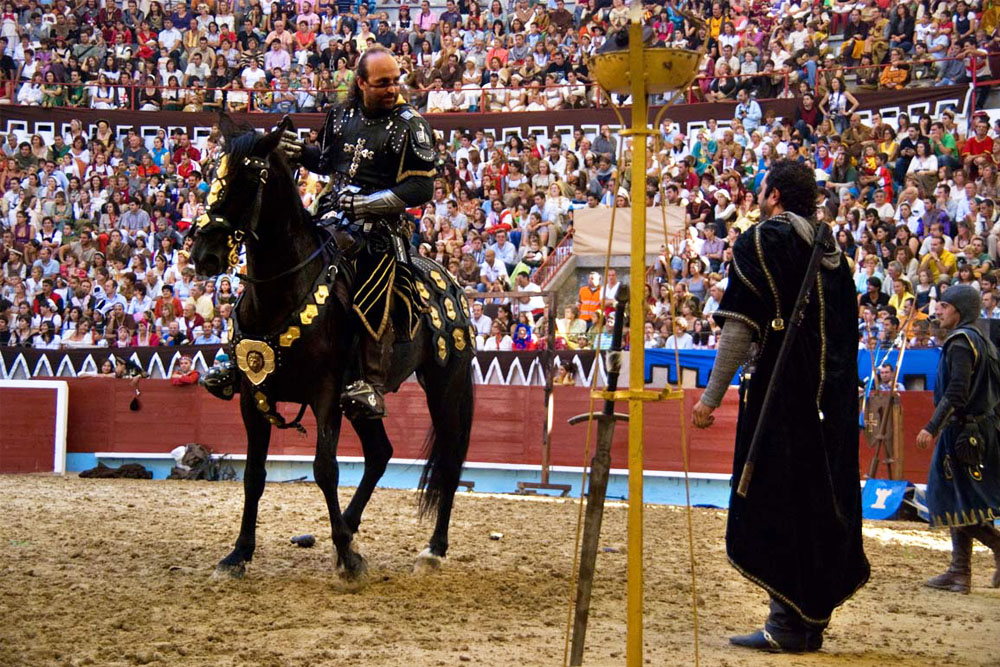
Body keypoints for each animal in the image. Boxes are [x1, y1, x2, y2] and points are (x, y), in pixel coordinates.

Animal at [192, 118, 480, 580]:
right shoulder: (253, 396)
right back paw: (348, 523)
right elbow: (254, 474)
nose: (205, 254)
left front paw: (348, 557)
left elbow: (325, 469)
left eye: (251, 177)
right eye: (213, 172)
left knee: (450, 459)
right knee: (380, 453)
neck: (281, 289)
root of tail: (449, 279)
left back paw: (433, 549)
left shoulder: (325, 394)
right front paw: (238, 554)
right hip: (359, 402)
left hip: (444, 383)